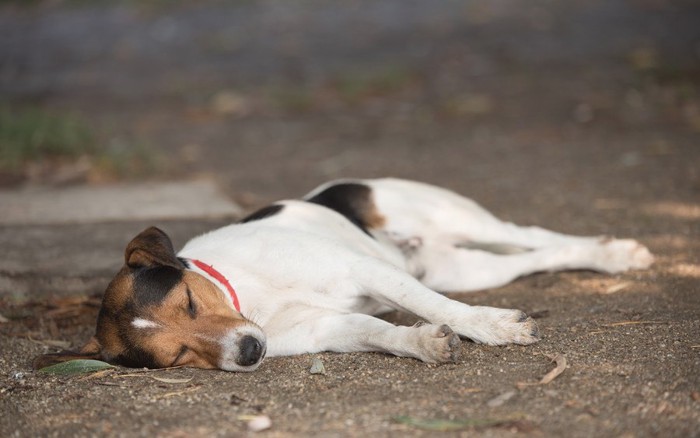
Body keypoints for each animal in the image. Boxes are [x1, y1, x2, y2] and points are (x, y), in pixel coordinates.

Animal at [34, 180, 656, 372]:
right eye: (178, 357)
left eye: (188, 301)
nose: (251, 352)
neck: (251, 298)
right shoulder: (327, 328)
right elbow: (382, 332)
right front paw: (422, 345)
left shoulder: (365, 268)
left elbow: (439, 307)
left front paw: (492, 329)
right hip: (468, 265)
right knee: (533, 259)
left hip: (456, 217)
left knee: (536, 236)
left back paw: (616, 257)